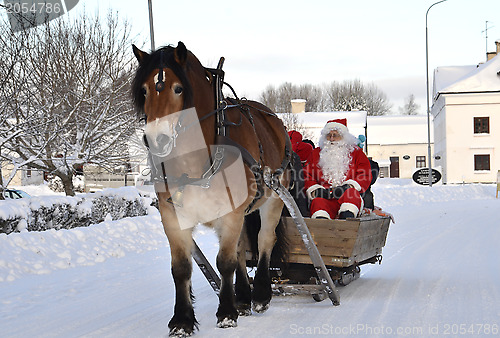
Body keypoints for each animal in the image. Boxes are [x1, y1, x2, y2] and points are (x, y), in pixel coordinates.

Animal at [131, 42, 292, 336]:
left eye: (178, 88)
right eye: (144, 90)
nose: (156, 139)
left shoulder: (231, 214)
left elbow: (225, 262)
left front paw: (226, 312)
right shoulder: (173, 217)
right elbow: (182, 268)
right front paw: (182, 319)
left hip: (273, 198)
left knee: (264, 240)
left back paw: (260, 295)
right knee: (242, 248)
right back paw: (243, 297)